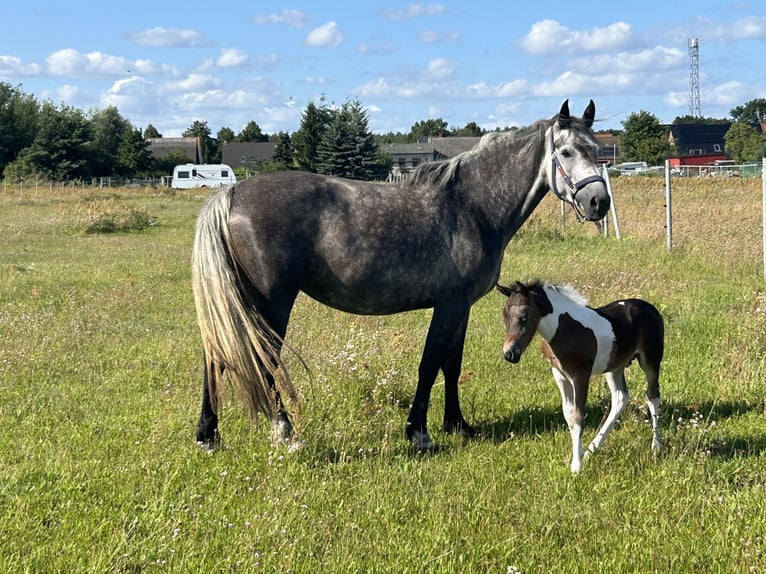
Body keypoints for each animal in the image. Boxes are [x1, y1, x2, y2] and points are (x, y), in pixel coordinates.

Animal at [189, 99, 608, 452]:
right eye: (566, 152)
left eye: (597, 151)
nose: (598, 202)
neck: (472, 206)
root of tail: (230, 195)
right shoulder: (448, 305)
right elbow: (430, 363)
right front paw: (418, 432)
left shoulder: (462, 307)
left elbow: (451, 365)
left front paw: (457, 425)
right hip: (271, 304)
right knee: (263, 361)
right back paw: (285, 433)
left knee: (216, 356)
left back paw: (208, 436)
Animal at [498, 282, 664, 474]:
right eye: (504, 317)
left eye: (523, 317)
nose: (510, 354)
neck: (564, 329)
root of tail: (650, 307)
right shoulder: (559, 374)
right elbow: (569, 415)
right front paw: (580, 455)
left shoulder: (580, 375)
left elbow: (577, 417)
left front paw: (576, 466)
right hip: (614, 367)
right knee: (620, 398)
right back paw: (592, 450)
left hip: (651, 360)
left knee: (653, 396)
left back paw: (656, 447)